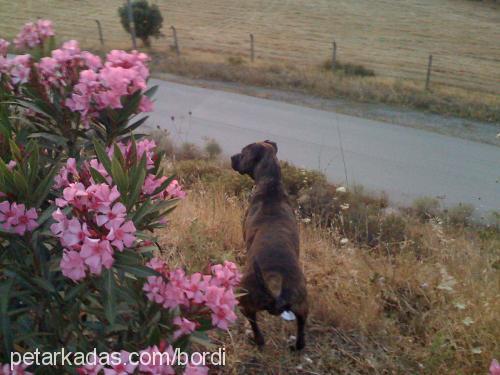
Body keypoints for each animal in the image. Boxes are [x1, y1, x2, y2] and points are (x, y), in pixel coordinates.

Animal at [231, 140, 308, 352]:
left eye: (243, 153)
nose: (232, 157)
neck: (271, 185)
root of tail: (276, 287)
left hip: (245, 300)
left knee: (255, 327)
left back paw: (256, 339)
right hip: (302, 305)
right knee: (301, 330)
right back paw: (296, 346)